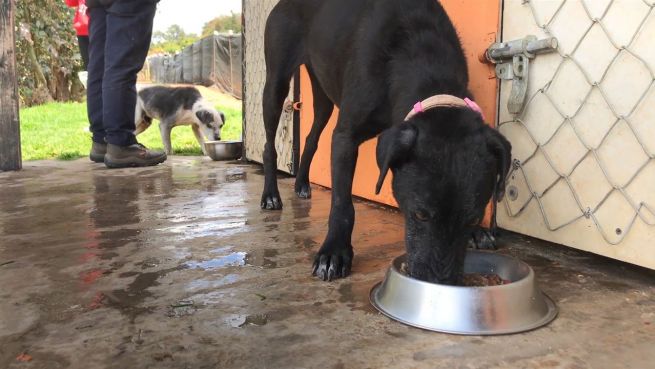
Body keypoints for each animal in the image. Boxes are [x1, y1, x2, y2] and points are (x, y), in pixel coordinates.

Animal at [262, 0, 512, 284]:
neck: (420, 53)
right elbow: (342, 204)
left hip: (322, 93)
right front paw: (334, 252)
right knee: (269, 144)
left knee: (311, 137)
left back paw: (302, 183)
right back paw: (270, 195)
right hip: (277, 81)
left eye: (474, 217)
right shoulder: (345, 137)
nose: (439, 285)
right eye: (419, 214)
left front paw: (478, 233)